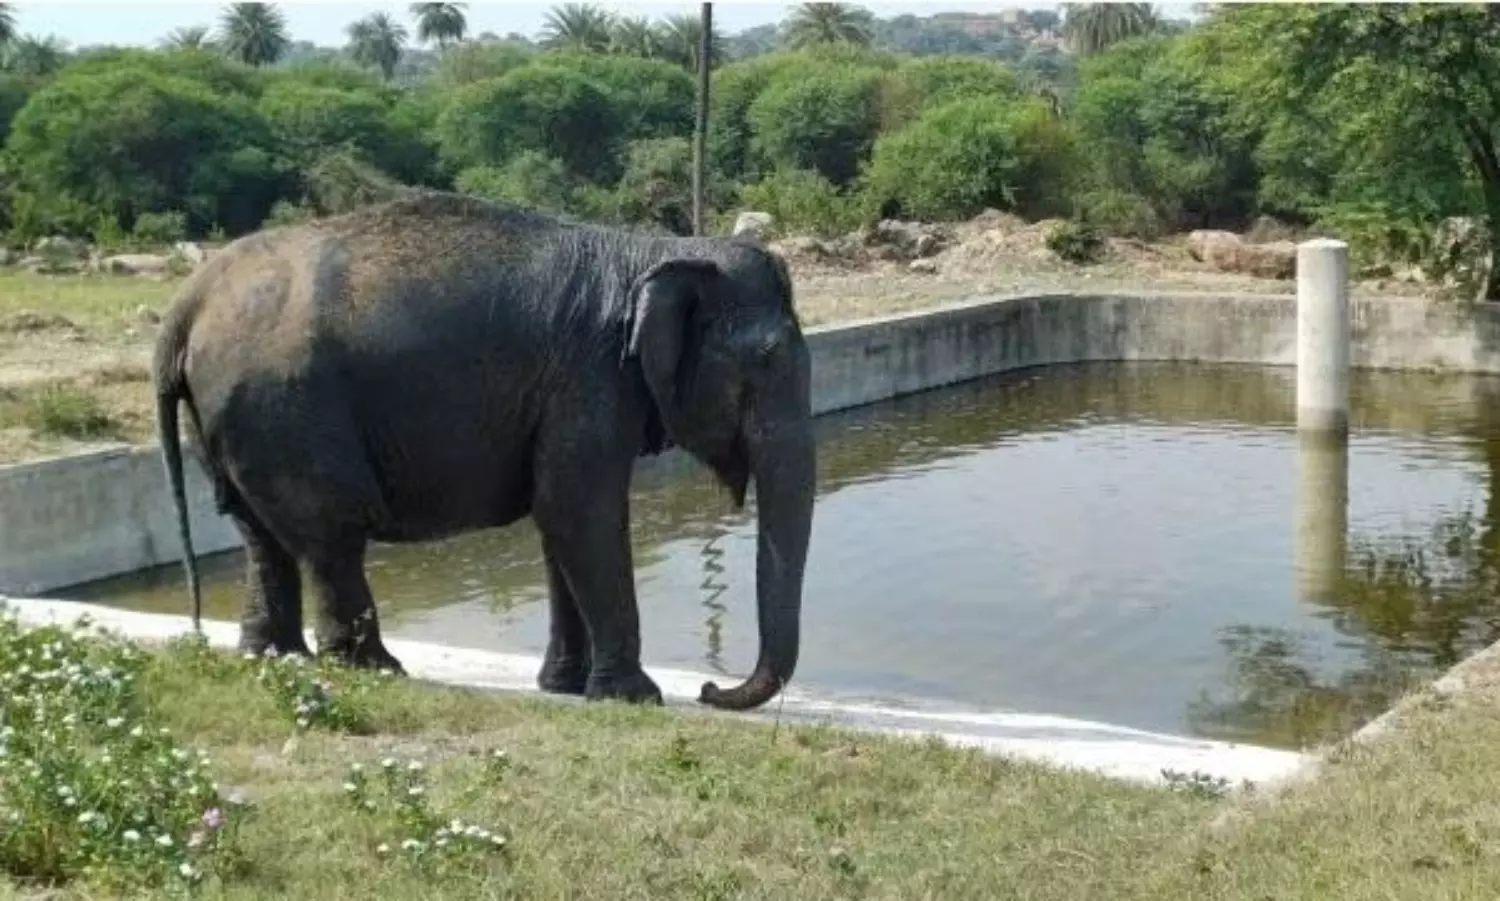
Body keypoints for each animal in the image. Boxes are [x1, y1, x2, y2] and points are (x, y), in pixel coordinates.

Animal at [151, 190, 816, 712]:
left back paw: (275, 658)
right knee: (330, 536)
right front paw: (634, 698)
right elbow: (580, 513)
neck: (652, 253)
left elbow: (557, 520)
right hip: (285, 412)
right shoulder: (588, 379)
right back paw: (372, 670)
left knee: (260, 536)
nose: (710, 689)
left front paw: (563, 687)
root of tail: (186, 307)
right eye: (766, 364)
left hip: (225, 423)